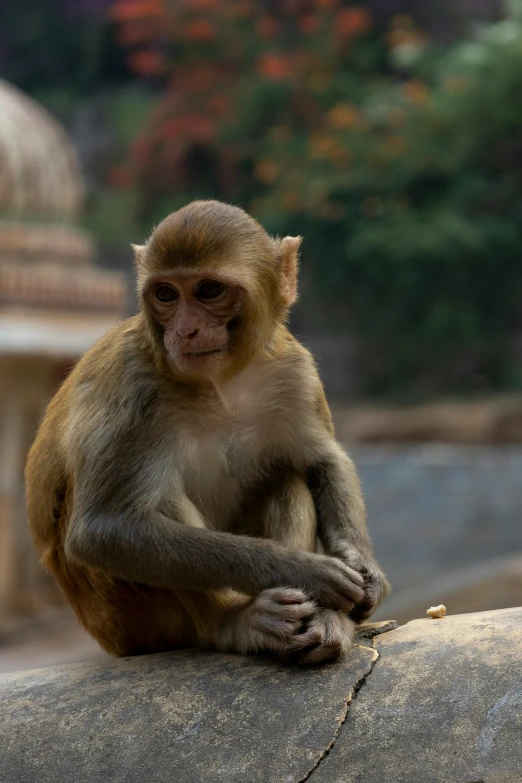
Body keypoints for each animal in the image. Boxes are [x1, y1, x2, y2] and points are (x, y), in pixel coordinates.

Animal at [26, 199, 388, 664]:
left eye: (209, 290)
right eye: (165, 294)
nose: (185, 330)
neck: (220, 383)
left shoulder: (294, 369)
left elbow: (324, 460)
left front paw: (363, 567)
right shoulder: (132, 384)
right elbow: (103, 529)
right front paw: (307, 572)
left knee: (286, 477)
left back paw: (321, 622)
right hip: (126, 619)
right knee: (157, 503)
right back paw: (236, 623)